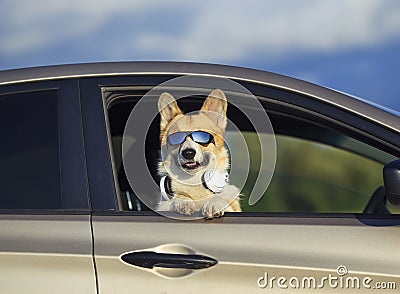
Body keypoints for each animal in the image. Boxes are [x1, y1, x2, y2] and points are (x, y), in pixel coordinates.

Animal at [155, 89, 241, 218]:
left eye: (202, 136)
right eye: (176, 138)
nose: (188, 153)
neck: (194, 180)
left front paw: (214, 203)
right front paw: (183, 201)